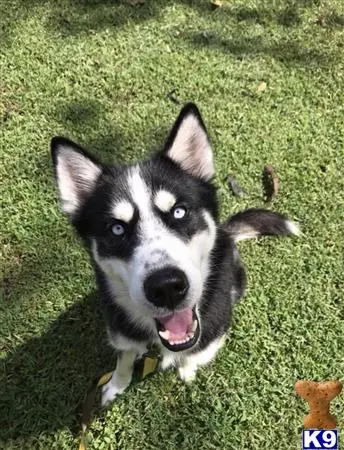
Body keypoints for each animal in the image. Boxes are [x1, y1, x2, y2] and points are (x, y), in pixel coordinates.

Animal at [51, 103, 298, 406]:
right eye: (117, 229)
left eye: (179, 212)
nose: (167, 287)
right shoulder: (122, 334)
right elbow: (123, 361)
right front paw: (115, 387)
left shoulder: (210, 334)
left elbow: (193, 355)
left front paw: (187, 370)